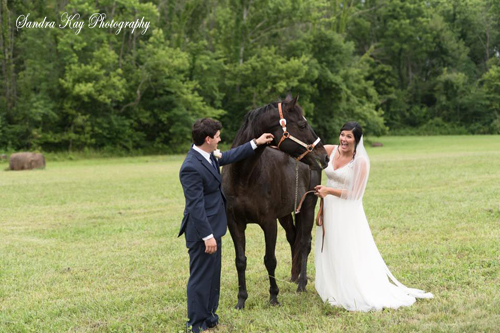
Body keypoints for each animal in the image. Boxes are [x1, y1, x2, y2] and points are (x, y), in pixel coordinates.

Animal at [223, 94, 328, 308]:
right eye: (302, 124)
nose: (325, 156)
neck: (243, 176)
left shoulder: (269, 223)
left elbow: (270, 260)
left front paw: (273, 297)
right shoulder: (234, 223)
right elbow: (240, 260)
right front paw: (241, 300)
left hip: (308, 206)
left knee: (304, 243)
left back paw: (301, 284)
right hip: (286, 214)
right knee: (293, 238)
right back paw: (294, 277)